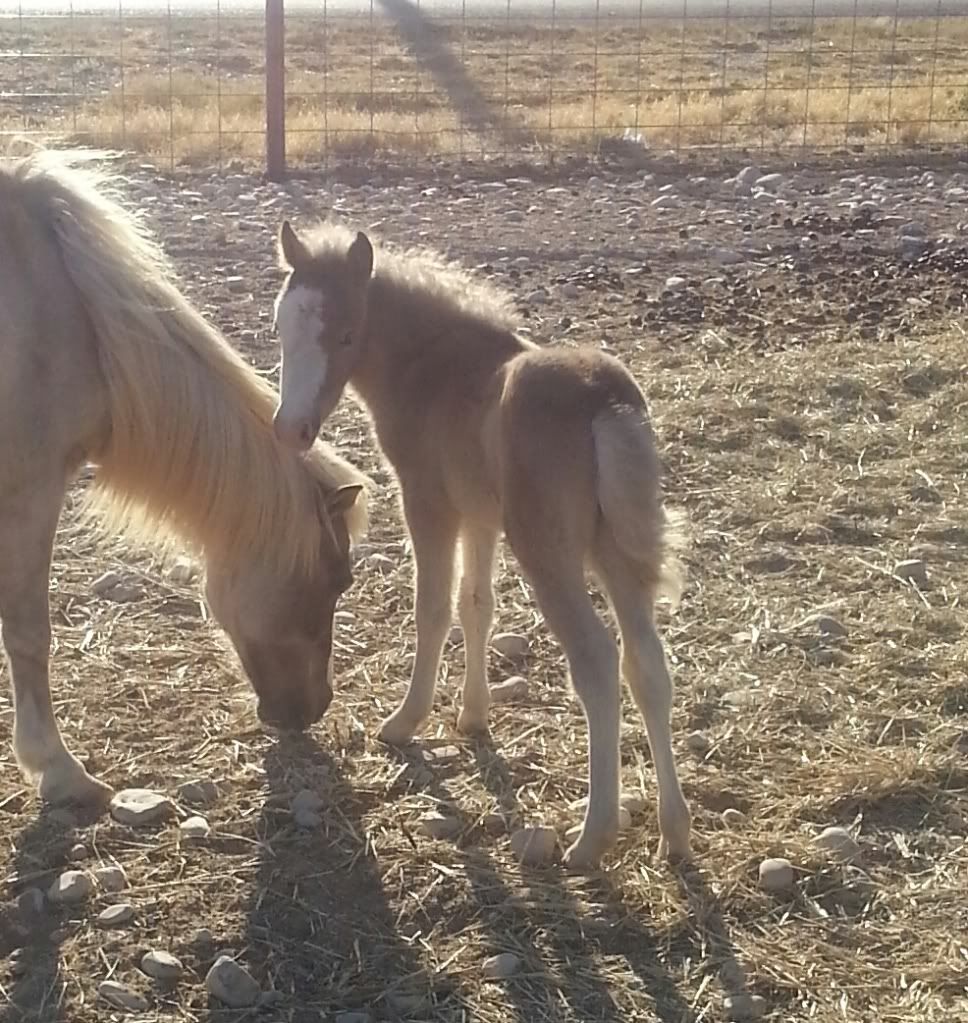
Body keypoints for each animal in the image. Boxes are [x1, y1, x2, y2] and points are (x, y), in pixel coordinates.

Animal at [0, 151, 370, 806]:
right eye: (337, 581)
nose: (313, 708)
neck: (71, 317)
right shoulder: (30, 492)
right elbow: (27, 631)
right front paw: (58, 769)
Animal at [268, 219, 691, 867]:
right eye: (281, 326)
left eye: (346, 335)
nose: (291, 430)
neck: (435, 367)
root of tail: (605, 398)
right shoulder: (481, 518)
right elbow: (477, 605)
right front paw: (472, 717)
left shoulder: (429, 505)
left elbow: (434, 609)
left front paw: (405, 721)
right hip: (615, 550)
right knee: (647, 663)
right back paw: (675, 830)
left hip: (549, 552)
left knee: (597, 662)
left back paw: (592, 836)